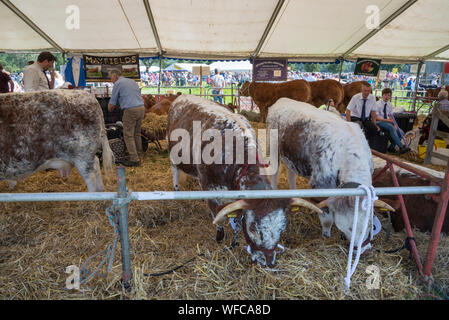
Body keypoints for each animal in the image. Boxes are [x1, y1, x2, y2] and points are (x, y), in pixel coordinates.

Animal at [166, 94, 320, 268]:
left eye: (282, 228)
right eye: (253, 229)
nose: (268, 262)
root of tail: (182, 96)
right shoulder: (210, 187)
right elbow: (218, 215)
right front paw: (219, 235)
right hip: (172, 155)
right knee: (175, 171)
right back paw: (176, 188)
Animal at [266, 97, 392, 250]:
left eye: (369, 225)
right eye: (350, 228)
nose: (364, 249)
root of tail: (282, 100)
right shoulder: (320, 187)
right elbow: (327, 218)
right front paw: (326, 235)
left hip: (290, 157)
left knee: (290, 173)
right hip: (273, 150)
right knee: (273, 174)